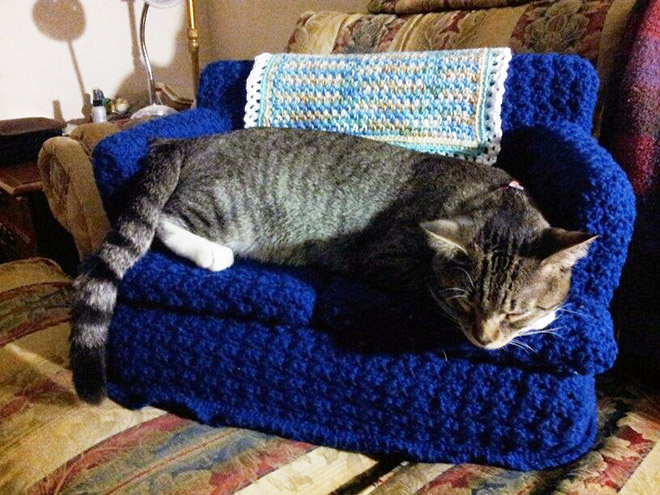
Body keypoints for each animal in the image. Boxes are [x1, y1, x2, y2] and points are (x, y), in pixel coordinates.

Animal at [69, 127, 596, 404]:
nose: (484, 340)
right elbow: (423, 282)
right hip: (222, 207)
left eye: (513, 310)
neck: (486, 195)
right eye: (467, 302)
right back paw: (211, 253)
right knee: (163, 218)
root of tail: (189, 140)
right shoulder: (384, 256)